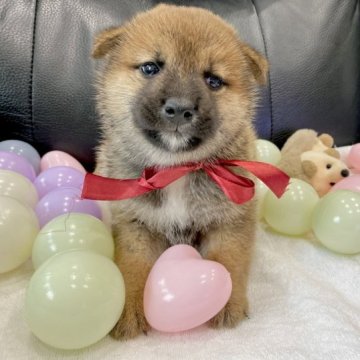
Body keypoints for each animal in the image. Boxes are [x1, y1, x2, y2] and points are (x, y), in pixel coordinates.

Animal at [93, 4, 268, 338]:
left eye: (213, 80)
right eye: (150, 68)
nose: (179, 108)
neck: (176, 169)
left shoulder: (231, 220)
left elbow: (229, 259)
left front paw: (227, 302)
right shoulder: (134, 224)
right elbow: (132, 265)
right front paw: (127, 308)